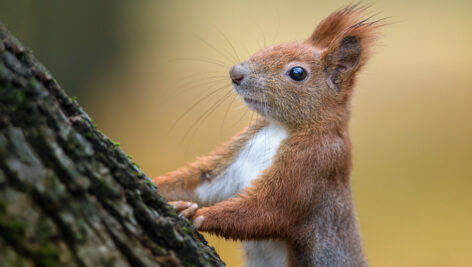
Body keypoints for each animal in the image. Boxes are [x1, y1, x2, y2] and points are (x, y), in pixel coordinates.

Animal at [153, 5, 386, 266]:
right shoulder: (236, 155)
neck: (278, 128)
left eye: (297, 73)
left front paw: (198, 215)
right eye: (272, 47)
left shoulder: (314, 165)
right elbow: (201, 181)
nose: (235, 73)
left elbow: (268, 209)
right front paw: (158, 185)